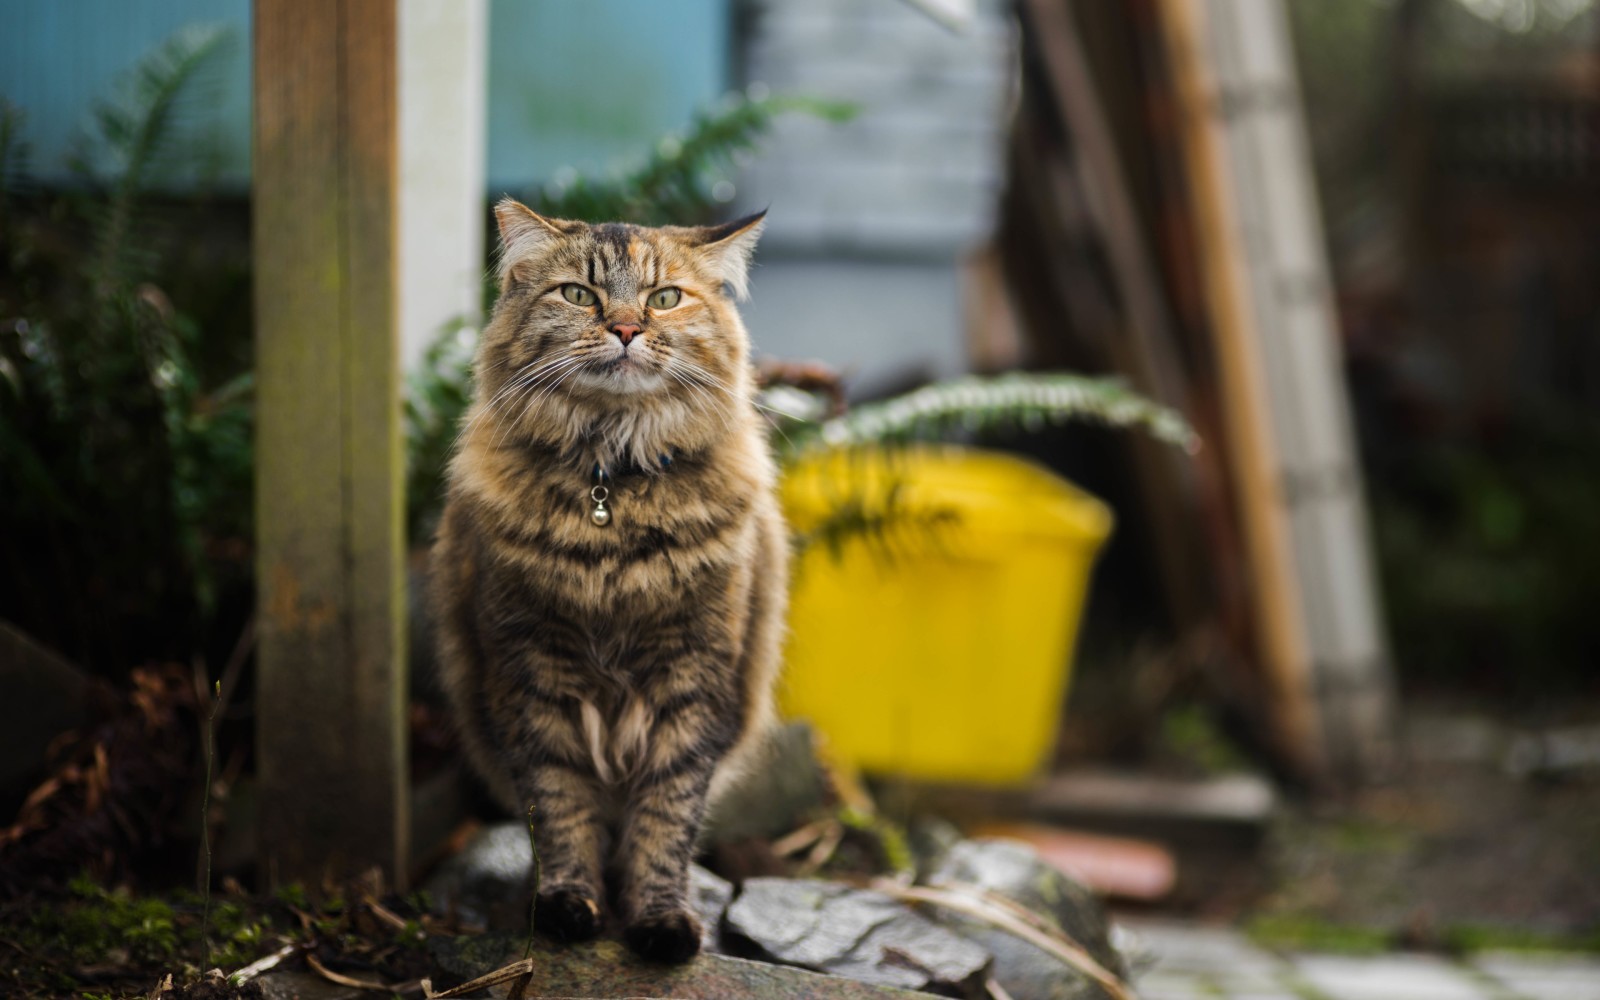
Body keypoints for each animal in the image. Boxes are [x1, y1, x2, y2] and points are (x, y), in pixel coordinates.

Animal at [432, 196, 787, 960]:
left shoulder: (694, 682)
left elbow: (666, 819)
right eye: (578, 294)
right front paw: (569, 908)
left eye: (665, 299)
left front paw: (661, 922)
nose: (625, 328)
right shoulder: (534, 678)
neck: (610, 490)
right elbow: (560, 810)